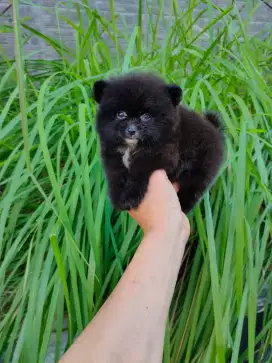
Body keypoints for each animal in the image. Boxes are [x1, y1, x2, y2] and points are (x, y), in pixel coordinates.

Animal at [92, 73, 224, 213]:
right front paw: (117, 198)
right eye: (121, 114)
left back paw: (182, 207)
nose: (131, 130)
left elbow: (137, 173)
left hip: (200, 172)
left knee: (192, 190)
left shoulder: (158, 155)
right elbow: (115, 176)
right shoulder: (113, 156)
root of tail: (214, 128)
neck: (132, 146)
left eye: (146, 116)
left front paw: (129, 198)